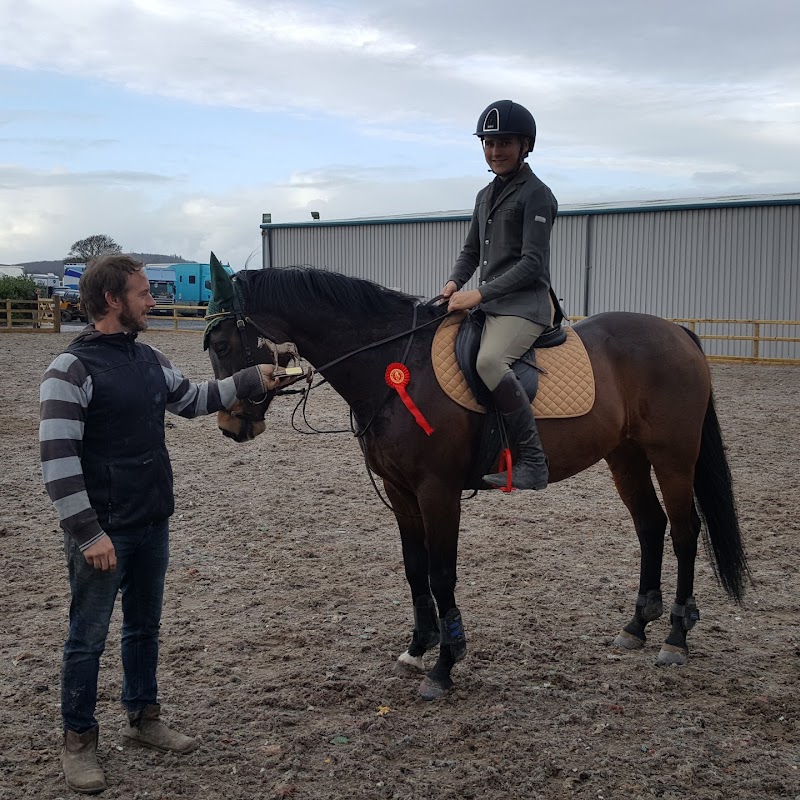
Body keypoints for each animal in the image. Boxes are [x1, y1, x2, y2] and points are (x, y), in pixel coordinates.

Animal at [202, 258, 752, 700]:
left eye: (225, 342)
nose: (232, 425)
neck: (393, 364)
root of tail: (678, 332)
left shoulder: (438, 491)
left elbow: (441, 573)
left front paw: (444, 665)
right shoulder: (402, 492)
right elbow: (414, 568)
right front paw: (418, 647)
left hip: (673, 458)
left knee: (684, 532)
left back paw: (676, 637)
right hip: (626, 456)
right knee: (650, 526)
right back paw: (637, 625)